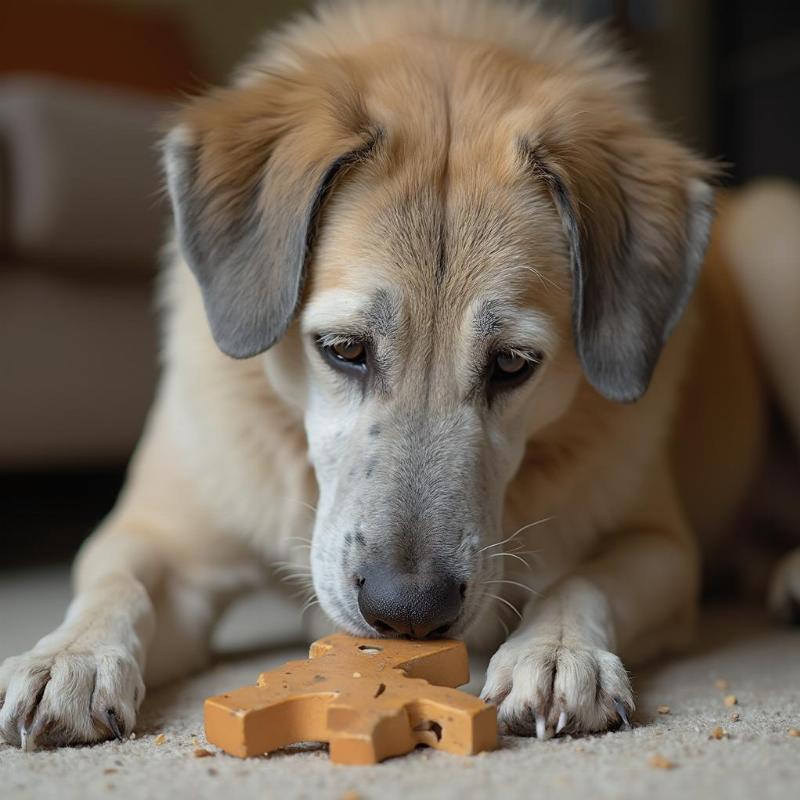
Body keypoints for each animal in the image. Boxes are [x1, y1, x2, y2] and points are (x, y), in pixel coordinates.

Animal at [1, 0, 800, 752]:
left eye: (513, 364)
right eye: (343, 348)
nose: (408, 611)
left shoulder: (658, 544)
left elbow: (585, 578)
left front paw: (556, 652)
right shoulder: (164, 539)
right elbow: (117, 582)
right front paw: (69, 659)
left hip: (772, 250)